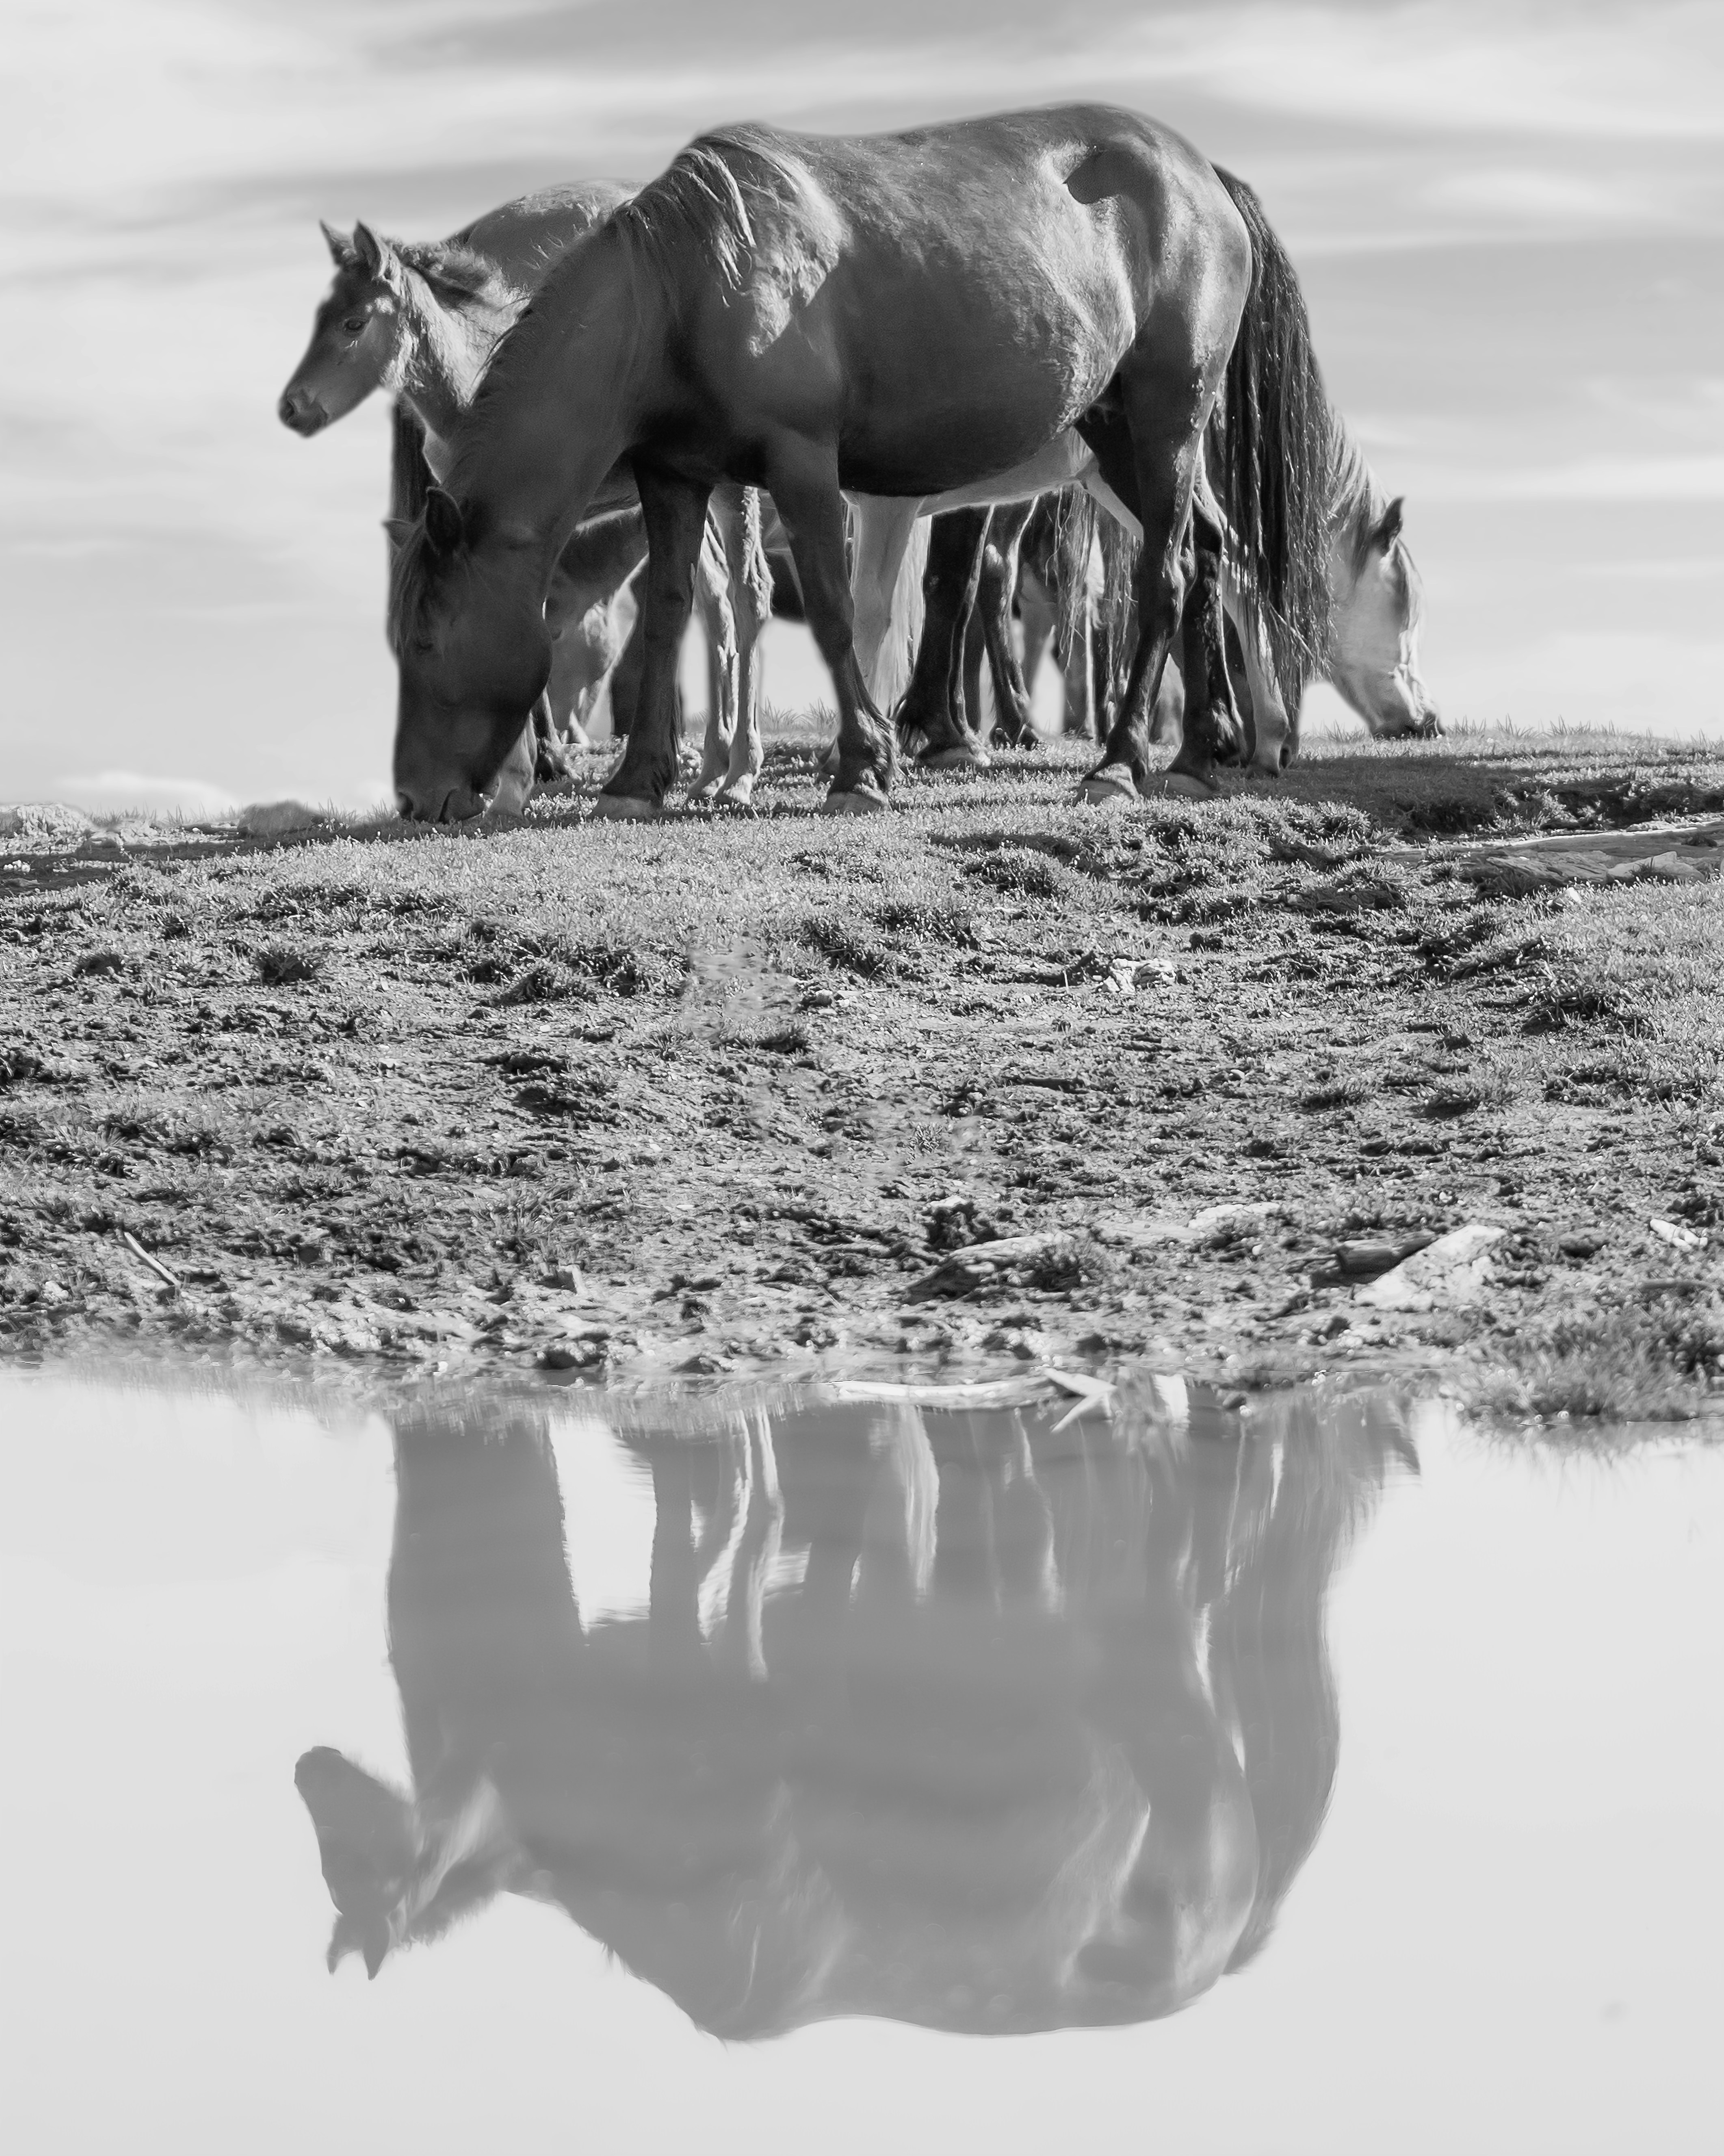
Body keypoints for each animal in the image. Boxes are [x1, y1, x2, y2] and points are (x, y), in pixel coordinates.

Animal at [278, 202, 773, 804]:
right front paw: (532, 765)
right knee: (718, 601)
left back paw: (739, 772)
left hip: (728, 485)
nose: (291, 408)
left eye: (353, 324)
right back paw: (712, 768)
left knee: (748, 592)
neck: (471, 388)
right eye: (319, 315)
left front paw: (532, 769)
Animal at [293, 1390, 1412, 2030]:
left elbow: (741, 1537)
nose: (305, 1769)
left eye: (363, 1873)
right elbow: (706, 1539)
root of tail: (1222, 1954)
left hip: (1160, 1686)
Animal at [388, 107, 1318, 823]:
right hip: (1119, 435)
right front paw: (637, 779)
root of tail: (1202, 177)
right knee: (1210, 553)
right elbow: (666, 615)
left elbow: (838, 614)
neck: (686, 284)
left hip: (1166, 426)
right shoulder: (675, 478)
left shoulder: (802, 465)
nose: (413, 798)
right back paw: (1196, 753)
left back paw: (1119, 764)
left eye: (427, 638)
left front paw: (862, 768)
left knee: (1167, 575)